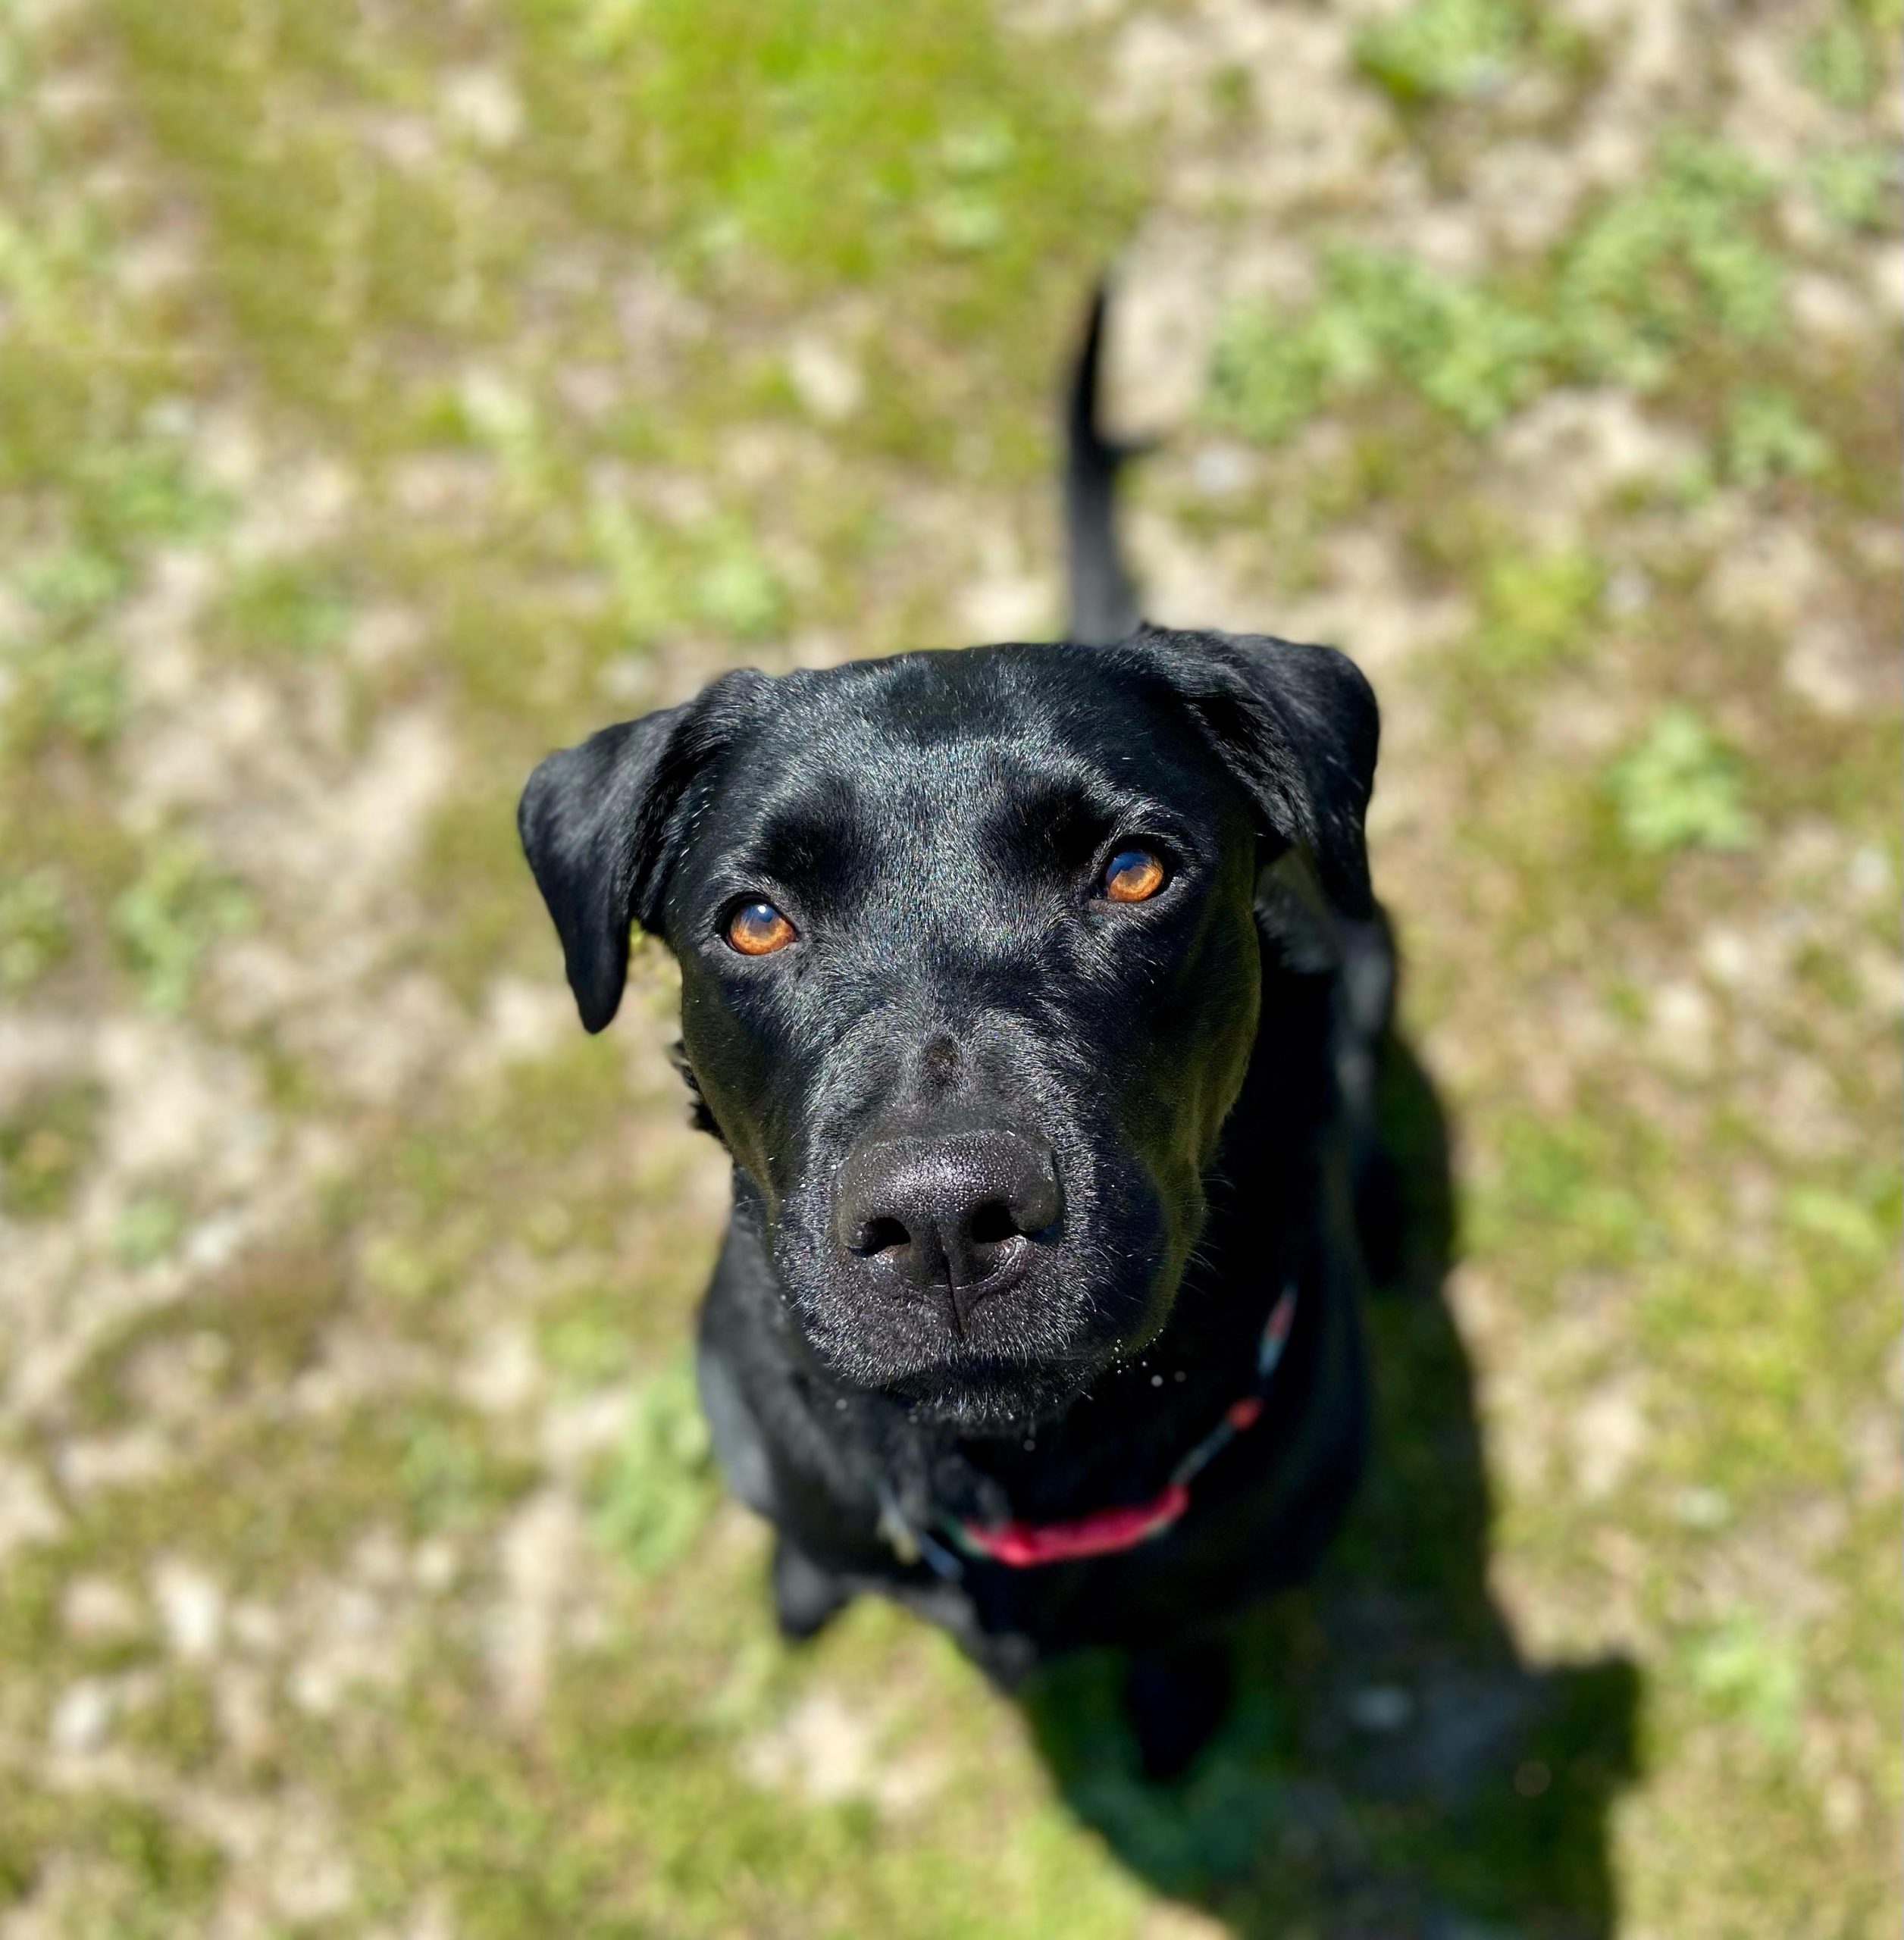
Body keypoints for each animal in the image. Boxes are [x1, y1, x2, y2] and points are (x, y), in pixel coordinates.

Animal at [520, 295, 1397, 1776]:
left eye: (1134, 872)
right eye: (755, 920)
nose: (943, 1220)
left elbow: (1175, 1632)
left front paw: (1172, 1707)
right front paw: (803, 1589)